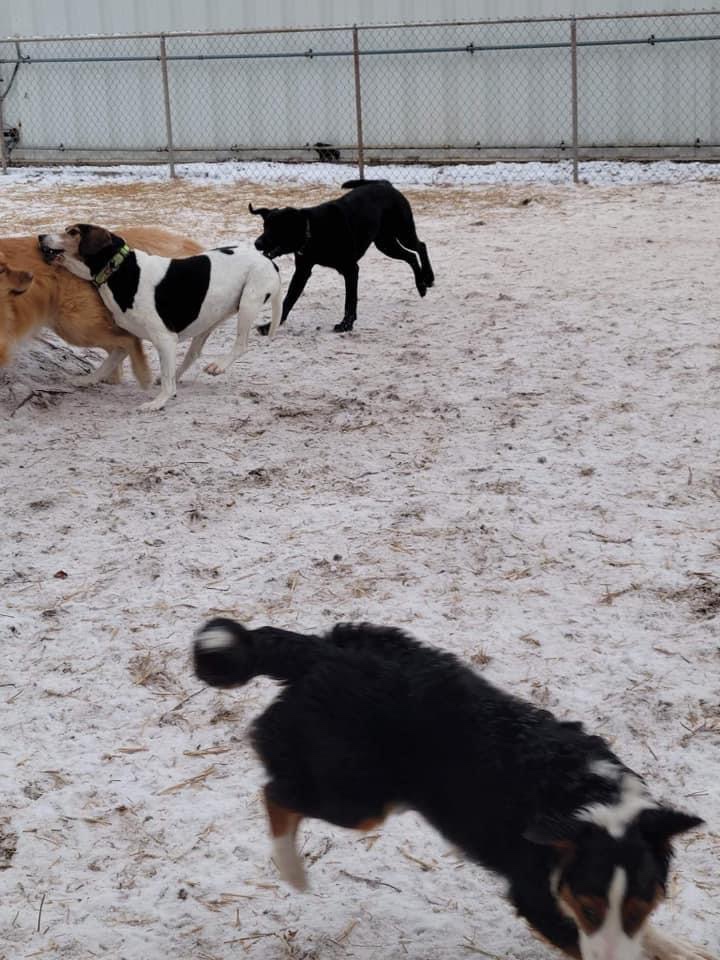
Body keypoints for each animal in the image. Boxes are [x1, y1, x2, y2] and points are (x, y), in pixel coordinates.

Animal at [1, 228, 202, 386]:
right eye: (3, 269)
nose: (31, 275)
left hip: (76, 324)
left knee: (129, 339)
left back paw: (142, 375)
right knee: (117, 346)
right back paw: (107, 377)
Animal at [38, 226, 282, 412]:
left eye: (72, 232)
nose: (40, 236)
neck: (120, 270)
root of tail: (268, 260)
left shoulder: (165, 340)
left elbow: (166, 381)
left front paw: (158, 402)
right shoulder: (128, 339)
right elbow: (107, 364)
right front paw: (86, 380)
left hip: (248, 303)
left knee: (240, 345)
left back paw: (218, 366)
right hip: (208, 320)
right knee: (192, 355)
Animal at [191, 620, 716, 960]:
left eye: (640, 908)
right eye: (588, 907)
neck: (584, 798)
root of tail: (324, 650)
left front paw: (679, 946)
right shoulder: (538, 898)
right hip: (359, 798)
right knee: (275, 791)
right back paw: (292, 871)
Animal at [250, 180, 436, 334]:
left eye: (276, 228)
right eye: (265, 226)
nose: (256, 243)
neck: (313, 231)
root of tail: (386, 185)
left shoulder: (351, 269)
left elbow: (350, 301)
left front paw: (346, 324)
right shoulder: (302, 271)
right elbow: (288, 299)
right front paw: (270, 326)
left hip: (403, 231)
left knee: (420, 246)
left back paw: (428, 278)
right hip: (386, 243)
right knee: (411, 257)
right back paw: (421, 286)